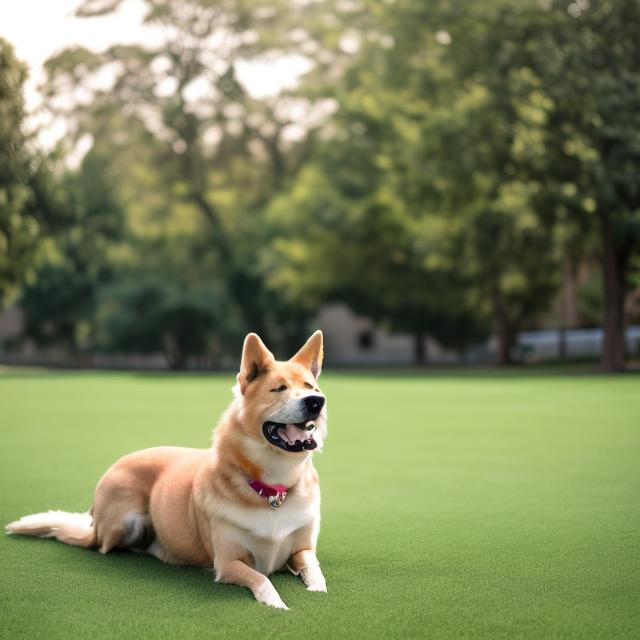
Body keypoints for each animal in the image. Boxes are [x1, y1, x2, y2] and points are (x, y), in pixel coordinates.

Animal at [7, 332, 330, 608]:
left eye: (311, 388)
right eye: (280, 389)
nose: (317, 402)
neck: (274, 488)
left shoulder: (302, 550)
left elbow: (315, 570)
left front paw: (317, 590)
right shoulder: (228, 564)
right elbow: (262, 578)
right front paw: (276, 604)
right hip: (128, 522)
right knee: (106, 547)